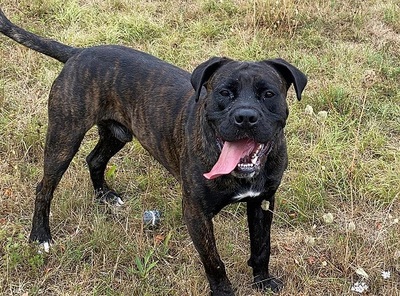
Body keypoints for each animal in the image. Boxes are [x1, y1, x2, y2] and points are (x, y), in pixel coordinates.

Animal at [0, 8, 308, 294]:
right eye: (224, 93)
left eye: (268, 94)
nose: (245, 117)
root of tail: (79, 52)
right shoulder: (196, 213)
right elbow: (214, 261)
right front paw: (223, 291)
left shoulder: (263, 202)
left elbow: (262, 247)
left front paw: (263, 281)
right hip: (64, 138)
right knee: (44, 187)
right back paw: (40, 236)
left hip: (116, 134)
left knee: (94, 159)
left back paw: (105, 195)